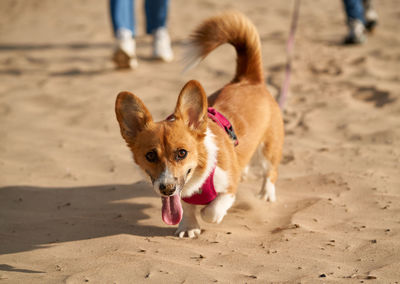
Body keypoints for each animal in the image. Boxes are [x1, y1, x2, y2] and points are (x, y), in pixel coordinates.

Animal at [115, 10, 284, 237]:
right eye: (150, 155)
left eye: (182, 153)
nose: (166, 189)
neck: (198, 175)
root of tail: (248, 80)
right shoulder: (181, 195)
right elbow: (186, 208)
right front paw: (188, 227)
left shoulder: (229, 187)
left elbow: (212, 210)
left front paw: (208, 214)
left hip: (269, 149)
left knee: (269, 172)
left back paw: (266, 193)